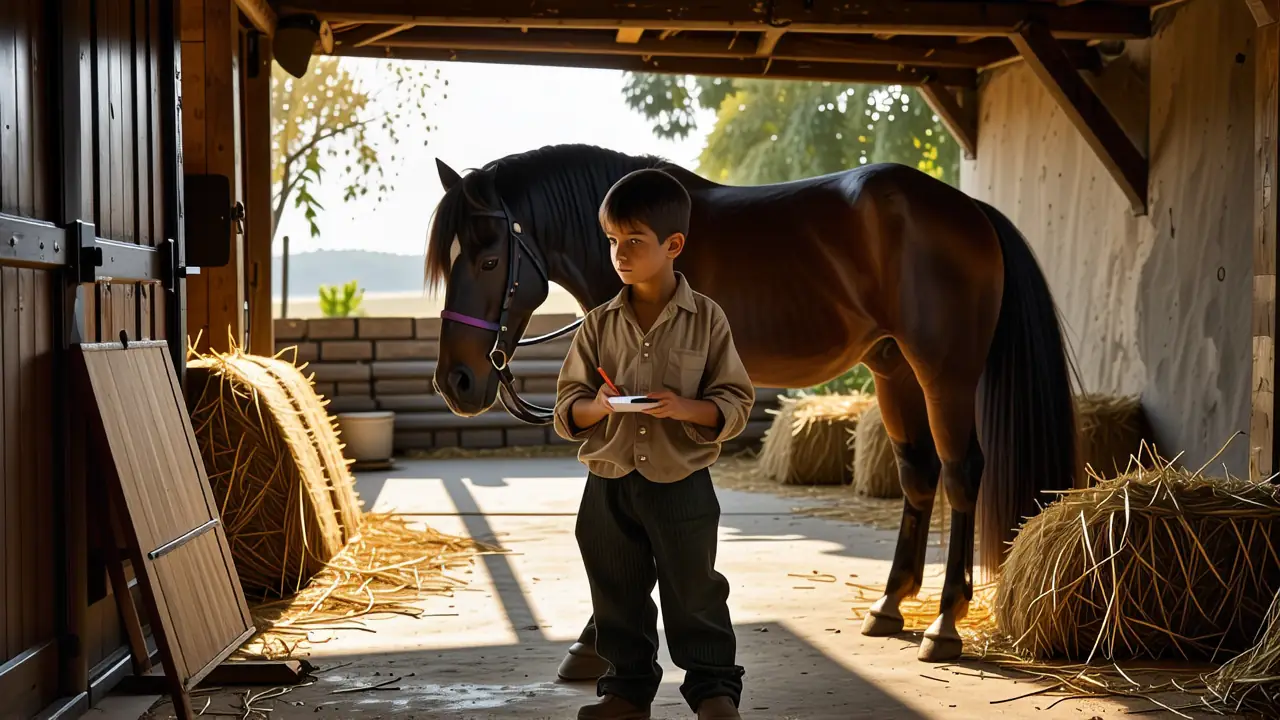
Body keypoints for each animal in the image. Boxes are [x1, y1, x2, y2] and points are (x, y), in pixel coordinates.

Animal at [424, 143, 1079, 667]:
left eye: (488, 260)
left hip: (944, 371)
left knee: (961, 472)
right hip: (892, 367)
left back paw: (944, 624)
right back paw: (890, 605)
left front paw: (594, 642)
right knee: (917, 472)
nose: (456, 381)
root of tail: (971, 211)